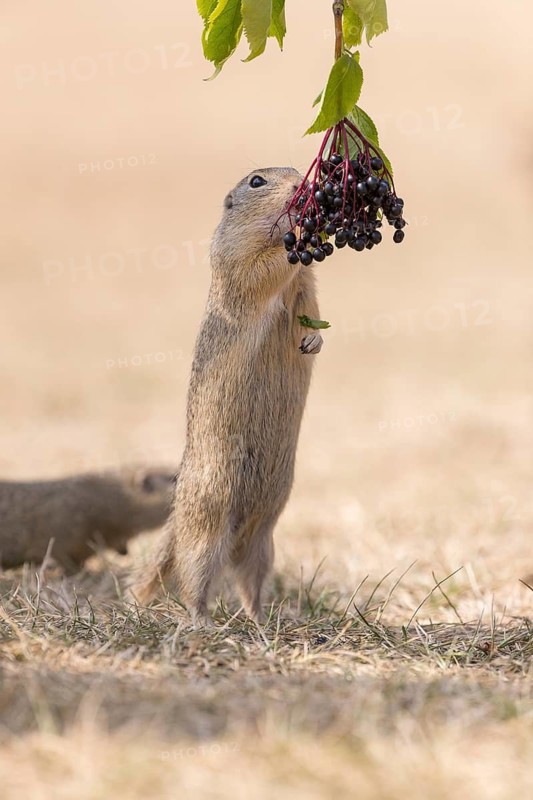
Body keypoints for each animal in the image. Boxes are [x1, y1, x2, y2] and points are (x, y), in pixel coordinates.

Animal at [134, 167, 324, 625]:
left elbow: (310, 309)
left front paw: (313, 342)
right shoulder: (238, 262)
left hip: (263, 541)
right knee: (193, 578)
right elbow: (262, 270)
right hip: (208, 525)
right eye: (256, 181)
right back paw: (200, 620)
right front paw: (297, 227)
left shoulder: (305, 282)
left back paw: (262, 619)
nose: (301, 185)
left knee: (248, 580)